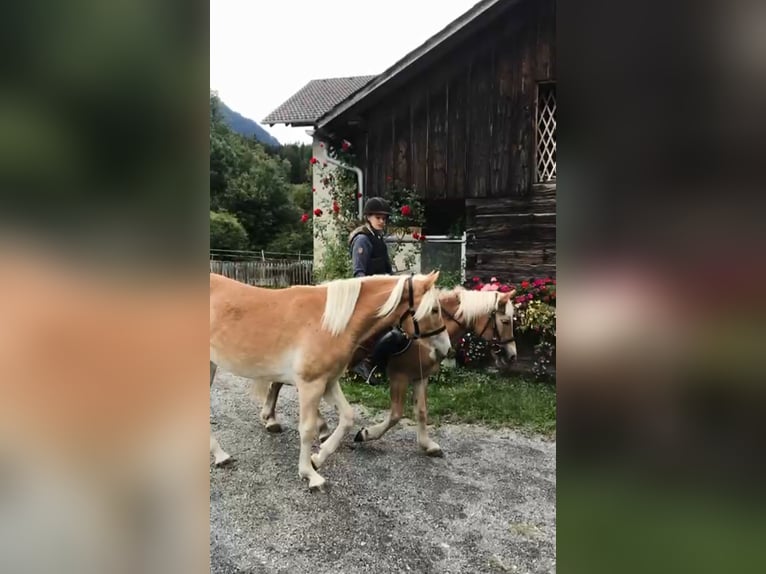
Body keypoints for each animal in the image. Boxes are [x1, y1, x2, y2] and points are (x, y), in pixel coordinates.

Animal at [207, 272, 452, 492]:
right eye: (434, 309)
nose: (446, 348)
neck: (328, 322)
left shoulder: (329, 382)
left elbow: (347, 418)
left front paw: (318, 457)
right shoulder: (311, 384)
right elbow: (307, 429)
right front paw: (310, 474)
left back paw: (221, 455)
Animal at [260, 288, 520, 460]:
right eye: (506, 320)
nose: (512, 356)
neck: (424, 337)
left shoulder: (420, 377)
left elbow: (421, 412)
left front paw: (427, 445)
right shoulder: (400, 376)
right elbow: (396, 414)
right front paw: (365, 434)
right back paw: (280, 420)